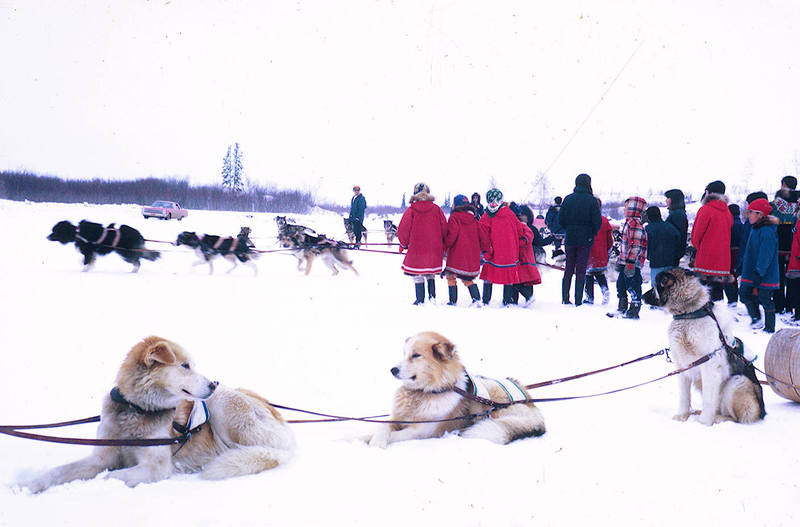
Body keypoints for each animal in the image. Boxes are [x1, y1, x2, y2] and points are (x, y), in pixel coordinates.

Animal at [23, 336, 296, 492]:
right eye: (185, 366)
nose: (212, 384)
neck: (138, 409)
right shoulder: (102, 457)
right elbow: (59, 471)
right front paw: (25, 484)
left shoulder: (156, 466)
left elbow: (109, 478)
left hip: (223, 406)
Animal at [368, 332, 544, 448]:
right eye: (404, 354)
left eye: (416, 355)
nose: (393, 370)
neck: (425, 392)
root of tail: (531, 403)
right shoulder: (396, 417)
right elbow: (382, 426)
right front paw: (374, 438)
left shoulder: (421, 431)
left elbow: (393, 435)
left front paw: (375, 442)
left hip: (493, 399)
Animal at [648, 270, 768, 426]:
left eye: (655, 286)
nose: (642, 296)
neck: (689, 315)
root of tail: (763, 412)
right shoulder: (682, 367)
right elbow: (684, 397)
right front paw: (682, 416)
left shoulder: (710, 366)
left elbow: (708, 400)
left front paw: (703, 423)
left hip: (737, 382)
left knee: (737, 419)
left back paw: (717, 418)